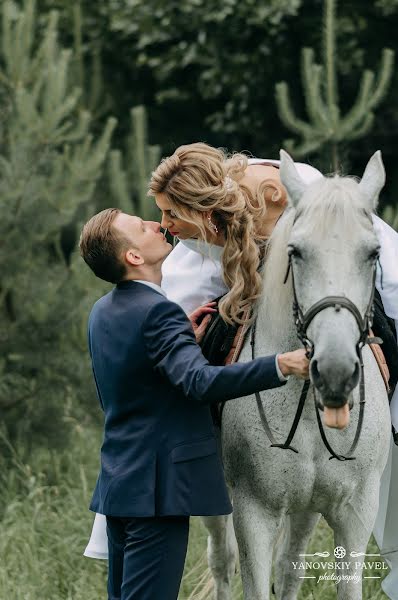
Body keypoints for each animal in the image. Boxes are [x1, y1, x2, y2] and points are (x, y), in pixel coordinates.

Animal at [205, 151, 392, 600]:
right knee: (221, 560)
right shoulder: (253, 513)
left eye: (373, 253)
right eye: (296, 252)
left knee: (290, 567)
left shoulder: (356, 512)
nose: (336, 372)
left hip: (307, 507)